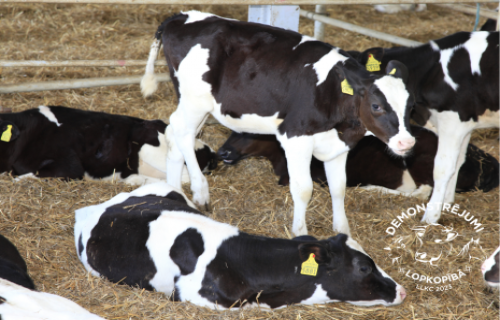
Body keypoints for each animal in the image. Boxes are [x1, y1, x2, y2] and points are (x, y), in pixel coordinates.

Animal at [141, 10, 414, 235]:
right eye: (376, 106)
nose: (407, 142)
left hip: (198, 105)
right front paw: (300, 231)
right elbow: (303, 188)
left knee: (176, 137)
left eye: (411, 107)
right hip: (194, 101)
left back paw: (175, 195)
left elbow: (339, 187)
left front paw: (343, 230)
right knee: (182, 133)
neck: (332, 91)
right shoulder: (295, 137)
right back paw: (200, 191)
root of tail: (180, 16)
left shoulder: (339, 144)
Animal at [354, 31, 498, 224]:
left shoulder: (452, 120)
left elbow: (443, 168)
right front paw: (447, 203)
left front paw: (431, 216)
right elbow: (458, 162)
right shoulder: (466, 124)